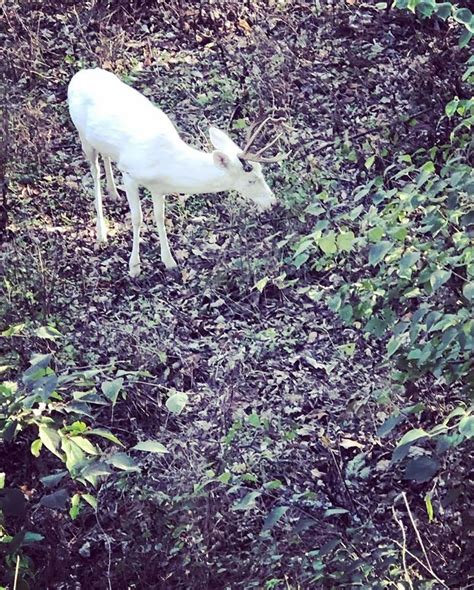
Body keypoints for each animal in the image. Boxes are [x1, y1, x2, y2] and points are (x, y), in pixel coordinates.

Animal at [68, 67, 280, 278]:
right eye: (251, 179)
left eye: (261, 171)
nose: (273, 202)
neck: (167, 167)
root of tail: (80, 74)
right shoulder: (129, 174)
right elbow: (137, 218)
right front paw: (134, 266)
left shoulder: (157, 188)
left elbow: (159, 216)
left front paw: (169, 261)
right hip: (82, 134)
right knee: (95, 171)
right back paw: (101, 232)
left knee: (106, 157)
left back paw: (113, 193)